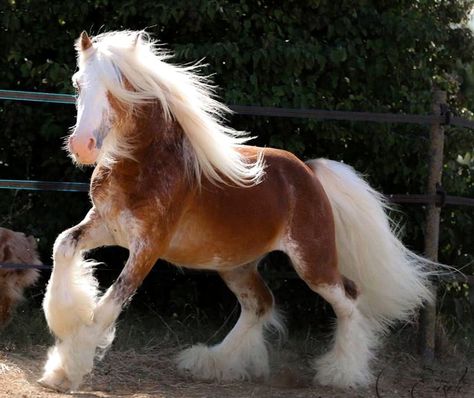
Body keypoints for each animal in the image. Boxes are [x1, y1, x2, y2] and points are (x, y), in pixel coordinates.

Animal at [39, 30, 434, 392]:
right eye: (78, 84)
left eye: (118, 87)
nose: (82, 145)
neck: (143, 165)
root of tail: (309, 172)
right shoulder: (105, 226)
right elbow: (63, 246)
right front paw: (65, 324)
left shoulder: (147, 248)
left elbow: (109, 305)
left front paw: (68, 370)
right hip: (236, 264)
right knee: (261, 304)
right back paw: (212, 363)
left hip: (313, 260)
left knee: (348, 298)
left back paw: (341, 374)